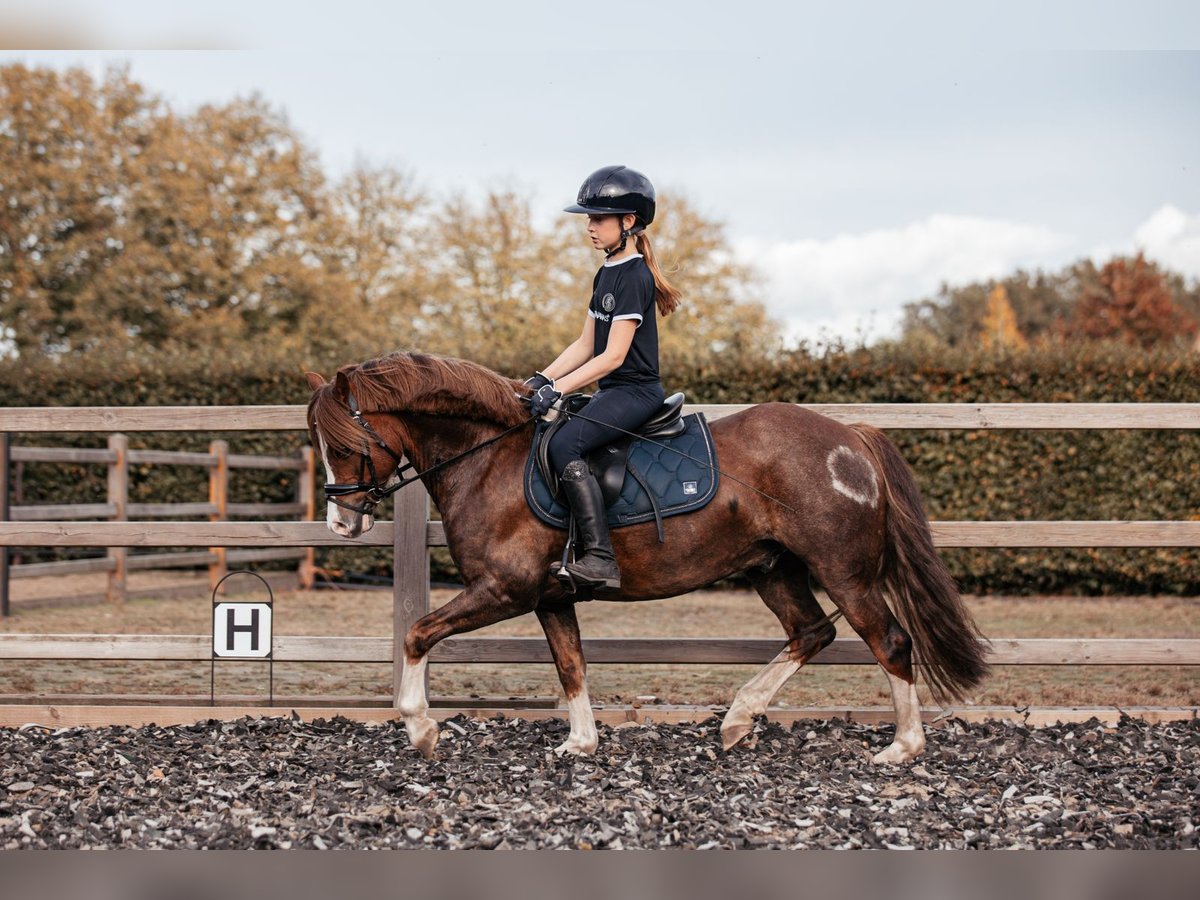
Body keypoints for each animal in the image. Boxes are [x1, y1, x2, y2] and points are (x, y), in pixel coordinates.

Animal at [304, 352, 988, 763]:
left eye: (344, 442)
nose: (341, 522)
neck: (488, 458)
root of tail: (851, 439)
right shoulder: (550, 596)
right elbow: (571, 665)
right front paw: (580, 743)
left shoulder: (506, 589)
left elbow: (417, 634)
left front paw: (420, 727)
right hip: (770, 567)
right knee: (812, 632)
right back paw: (738, 718)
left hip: (844, 572)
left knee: (890, 642)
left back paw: (901, 747)